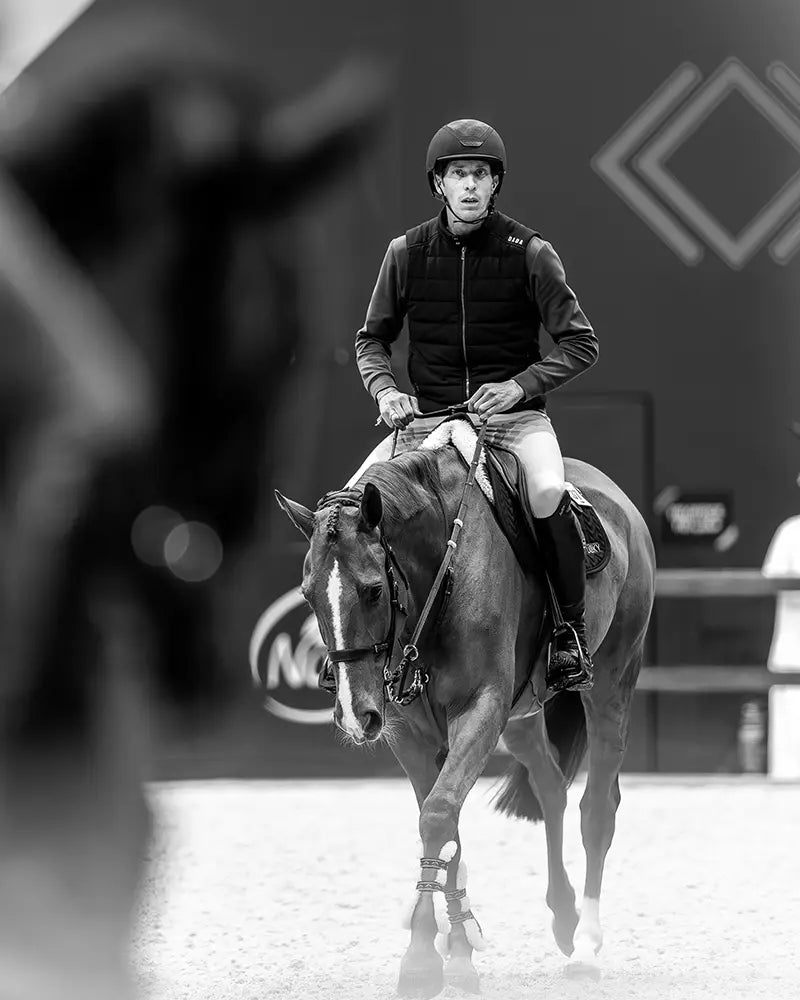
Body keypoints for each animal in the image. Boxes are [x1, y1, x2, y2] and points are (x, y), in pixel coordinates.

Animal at [278, 424, 652, 1000]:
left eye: (372, 590)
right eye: (307, 594)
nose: (353, 714)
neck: (438, 574)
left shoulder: (480, 708)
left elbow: (437, 815)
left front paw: (422, 961)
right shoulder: (408, 730)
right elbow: (443, 822)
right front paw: (451, 950)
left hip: (612, 682)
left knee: (597, 809)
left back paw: (587, 945)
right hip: (522, 716)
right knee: (550, 787)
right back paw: (565, 918)